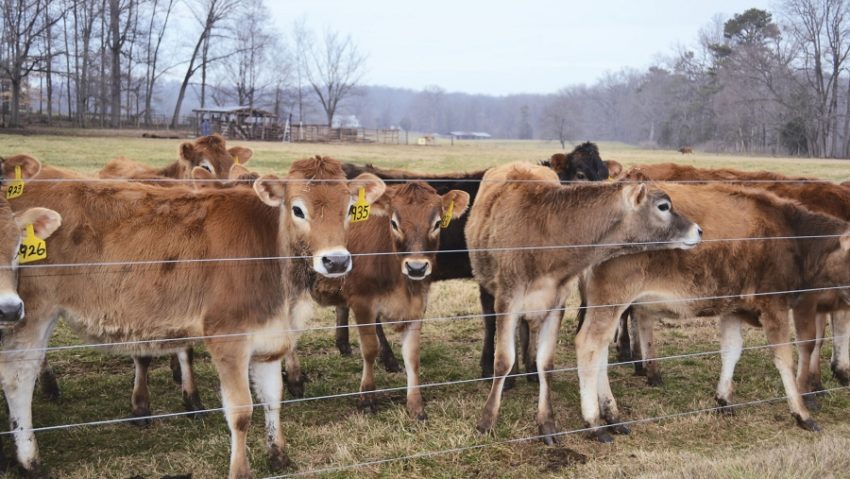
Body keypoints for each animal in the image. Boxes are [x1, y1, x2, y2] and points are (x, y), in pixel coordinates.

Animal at [0, 156, 382, 478]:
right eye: (298, 209)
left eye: (350, 208)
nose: (336, 260)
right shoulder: (227, 337)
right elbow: (241, 411)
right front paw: (240, 470)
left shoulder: (270, 337)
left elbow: (273, 398)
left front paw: (279, 456)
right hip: (29, 313)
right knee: (19, 378)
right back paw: (29, 460)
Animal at [312, 182, 470, 418]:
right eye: (394, 223)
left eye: (437, 223)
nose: (416, 267)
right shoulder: (362, 301)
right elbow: (369, 349)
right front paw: (367, 398)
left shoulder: (417, 304)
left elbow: (412, 355)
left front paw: (415, 405)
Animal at [464, 163, 704, 444]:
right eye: (663, 206)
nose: (699, 230)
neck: (545, 235)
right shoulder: (508, 299)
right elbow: (503, 360)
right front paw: (486, 421)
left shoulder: (557, 304)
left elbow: (547, 364)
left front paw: (547, 424)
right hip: (487, 285)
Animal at [576, 184, 848, 442]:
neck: (792, 234)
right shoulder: (775, 306)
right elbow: (785, 359)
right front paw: (802, 413)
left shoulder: (732, 309)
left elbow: (731, 351)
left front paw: (724, 399)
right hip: (610, 301)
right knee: (588, 345)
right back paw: (594, 423)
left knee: (600, 350)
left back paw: (611, 415)